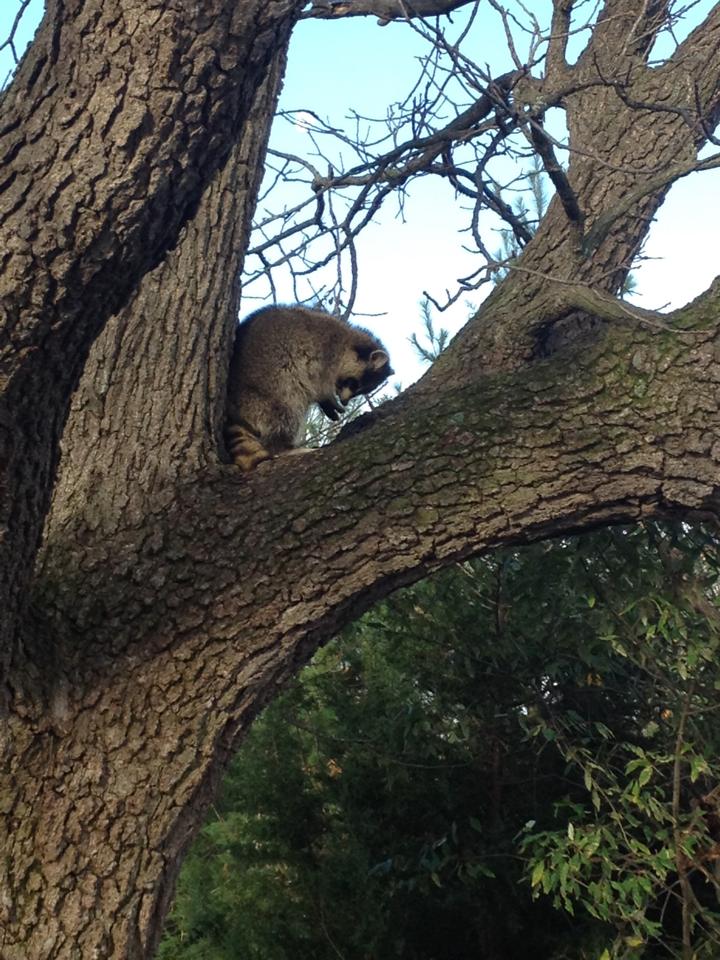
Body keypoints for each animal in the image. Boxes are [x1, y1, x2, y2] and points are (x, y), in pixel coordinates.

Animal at [224, 305, 393, 471]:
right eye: (353, 384)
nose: (344, 402)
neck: (348, 339)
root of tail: (233, 408)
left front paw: (325, 403)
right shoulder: (325, 354)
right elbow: (320, 385)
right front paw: (327, 398)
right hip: (270, 392)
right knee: (288, 410)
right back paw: (284, 447)